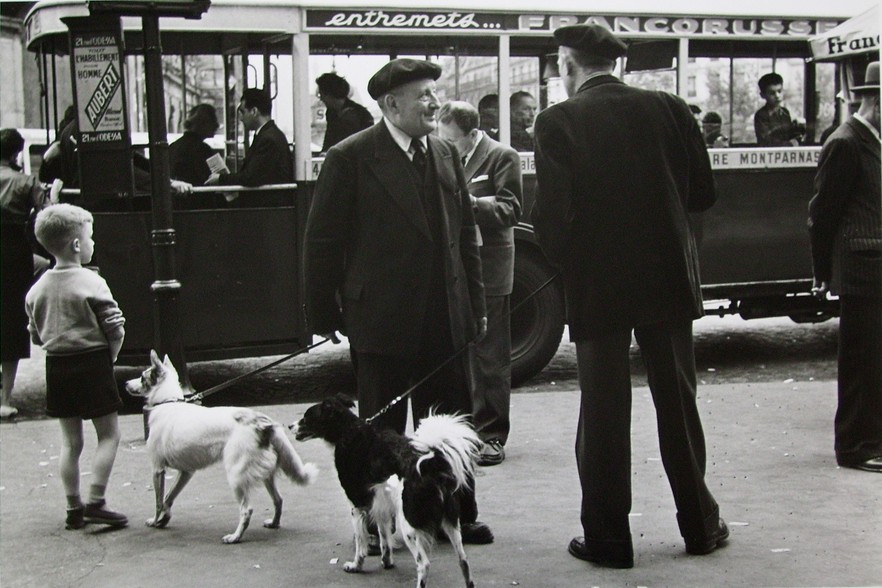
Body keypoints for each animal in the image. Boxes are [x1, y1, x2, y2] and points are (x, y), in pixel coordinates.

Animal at [124, 352, 316, 544]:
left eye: (142, 377)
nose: (126, 383)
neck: (167, 402)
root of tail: (262, 422)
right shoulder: (186, 472)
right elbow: (168, 498)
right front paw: (165, 518)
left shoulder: (157, 469)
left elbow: (158, 502)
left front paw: (155, 521)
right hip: (266, 476)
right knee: (278, 500)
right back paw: (274, 523)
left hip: (236, 476)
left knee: (247, 511)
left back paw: (235, 537)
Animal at [292, 392, 478, 588]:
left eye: (306, 417)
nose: (290, 426)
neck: (348, 430)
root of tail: (432, 464)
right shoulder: (380, 502)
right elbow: (384, 538)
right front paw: (386, 561)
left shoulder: (357, 505)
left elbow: (361, 543)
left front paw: (356, 565)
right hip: (451, 522)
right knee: (463, 561)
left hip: (409, 525)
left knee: (424, 564)